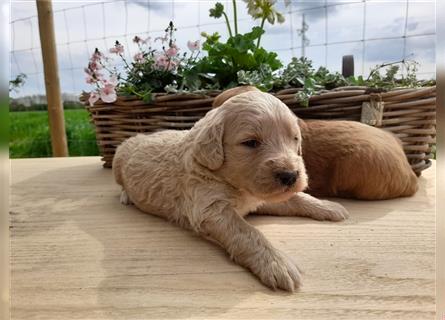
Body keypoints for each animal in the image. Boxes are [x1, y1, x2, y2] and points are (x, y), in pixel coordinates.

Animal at [112, 90, 348, 292]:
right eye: (250, 142)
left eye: (294, 139)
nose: (290, 175)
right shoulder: (209, 209)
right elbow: (248, 233)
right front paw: (276, 263)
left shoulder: (262, 196)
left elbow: (298, 198)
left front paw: (328, 206)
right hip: (118, 159)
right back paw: (126, 196)